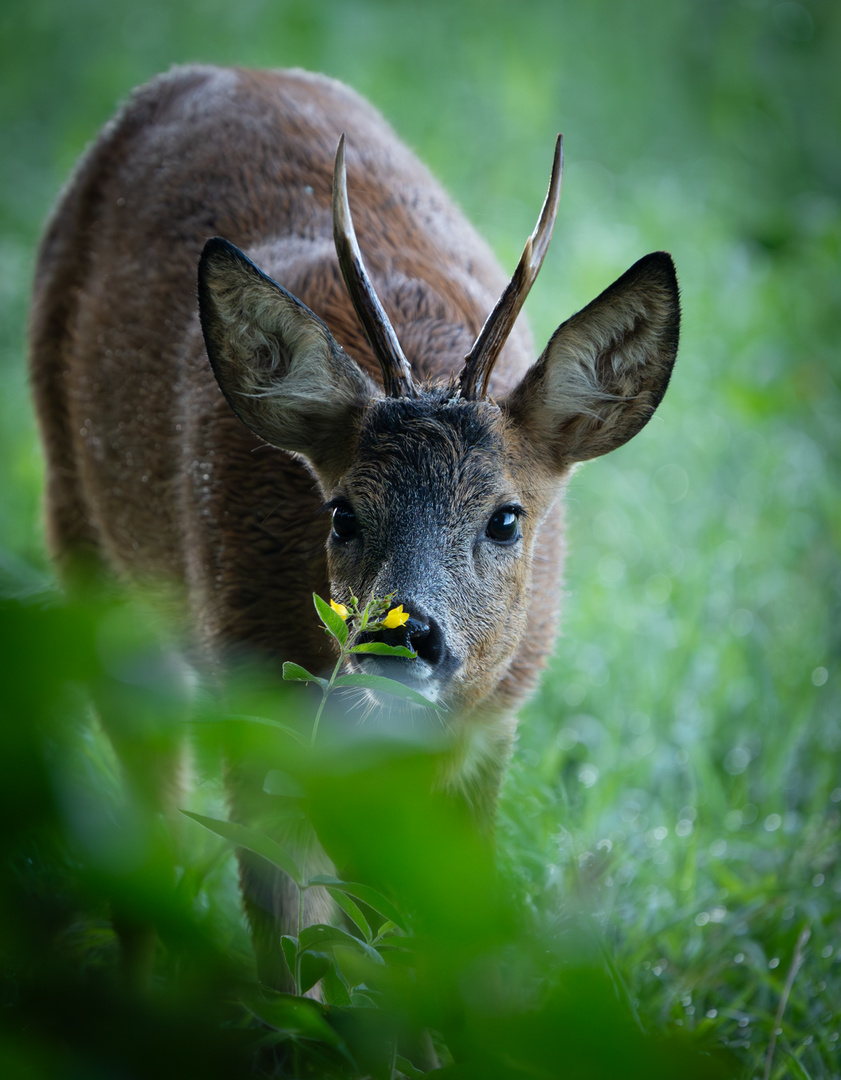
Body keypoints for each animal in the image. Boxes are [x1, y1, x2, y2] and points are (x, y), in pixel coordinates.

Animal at [29, 63, 682, 984]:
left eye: (507, 518)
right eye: (340, 513)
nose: (400, 634)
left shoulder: (488, 727)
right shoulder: (255, 696)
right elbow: (288, 954)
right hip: (86, 543)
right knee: (146, 828)